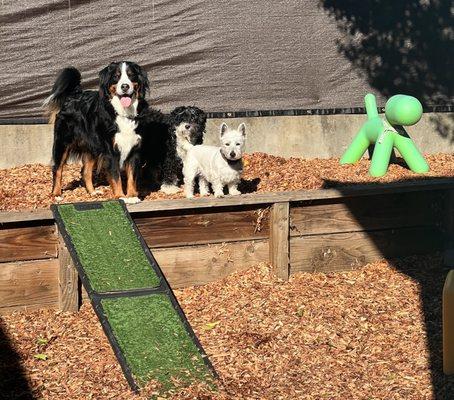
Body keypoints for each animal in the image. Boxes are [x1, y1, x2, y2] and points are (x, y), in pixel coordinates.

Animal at [44, 61, 148, 203]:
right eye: (116, 76)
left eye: (131, 75)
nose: (125, 86)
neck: (122, 112)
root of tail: (74, 94)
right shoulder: (111, 151)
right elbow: (116, 176)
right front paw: (120, 196)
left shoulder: (134, 148)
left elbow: (132, 175)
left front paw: (132, 196)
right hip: (63, 142)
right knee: (57, 168)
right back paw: (56, 194)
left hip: (92, 146)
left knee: (85, 171)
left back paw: (92, 192)